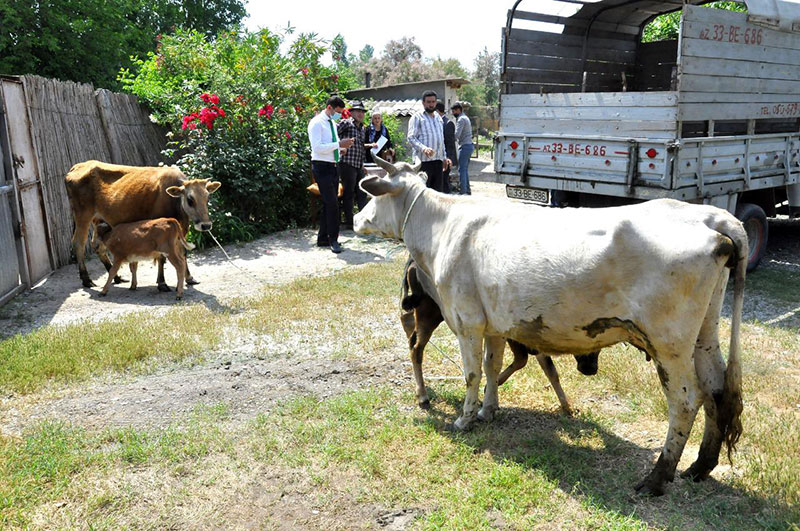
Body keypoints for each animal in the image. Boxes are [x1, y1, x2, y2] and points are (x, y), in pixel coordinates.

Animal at [65, 161, 220, 290]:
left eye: (207, 197)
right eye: (190, 199)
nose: (206, 225)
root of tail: (77, 166)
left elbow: (183, 252)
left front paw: (189, 278)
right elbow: (161, 257)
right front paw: (162, 283)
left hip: (99, 220)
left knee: (98, 246)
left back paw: (117, 277)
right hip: (83, 216)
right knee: (78, 243)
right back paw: (86, 279)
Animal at [401, 257, 600, 414]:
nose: (591, 369)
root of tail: (412, 262)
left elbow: (550, 371)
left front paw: (567, 407)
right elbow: (520, 361)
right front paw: (490, 390)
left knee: (409, 331)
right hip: (428, 313)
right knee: (416, 348)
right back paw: (423, 396)